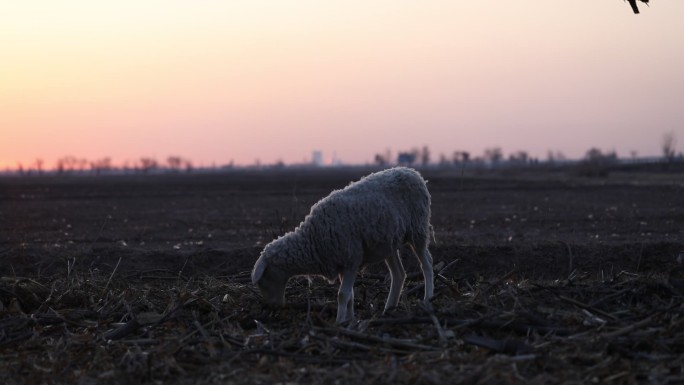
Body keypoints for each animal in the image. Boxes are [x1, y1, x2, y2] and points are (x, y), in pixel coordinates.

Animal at [251, 166, 432, 322]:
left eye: (263, 280)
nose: (274, 307)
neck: (313, 240)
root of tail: (413, 173)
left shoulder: (352, 259)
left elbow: (342, 295)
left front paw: (339, 322)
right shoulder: (341, 264)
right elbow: (350, 295)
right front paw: (350, 320)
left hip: (418, 229)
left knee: (427, 264)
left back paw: (427, 299)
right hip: (389, 242)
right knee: (399, 274)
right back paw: (389, 309)